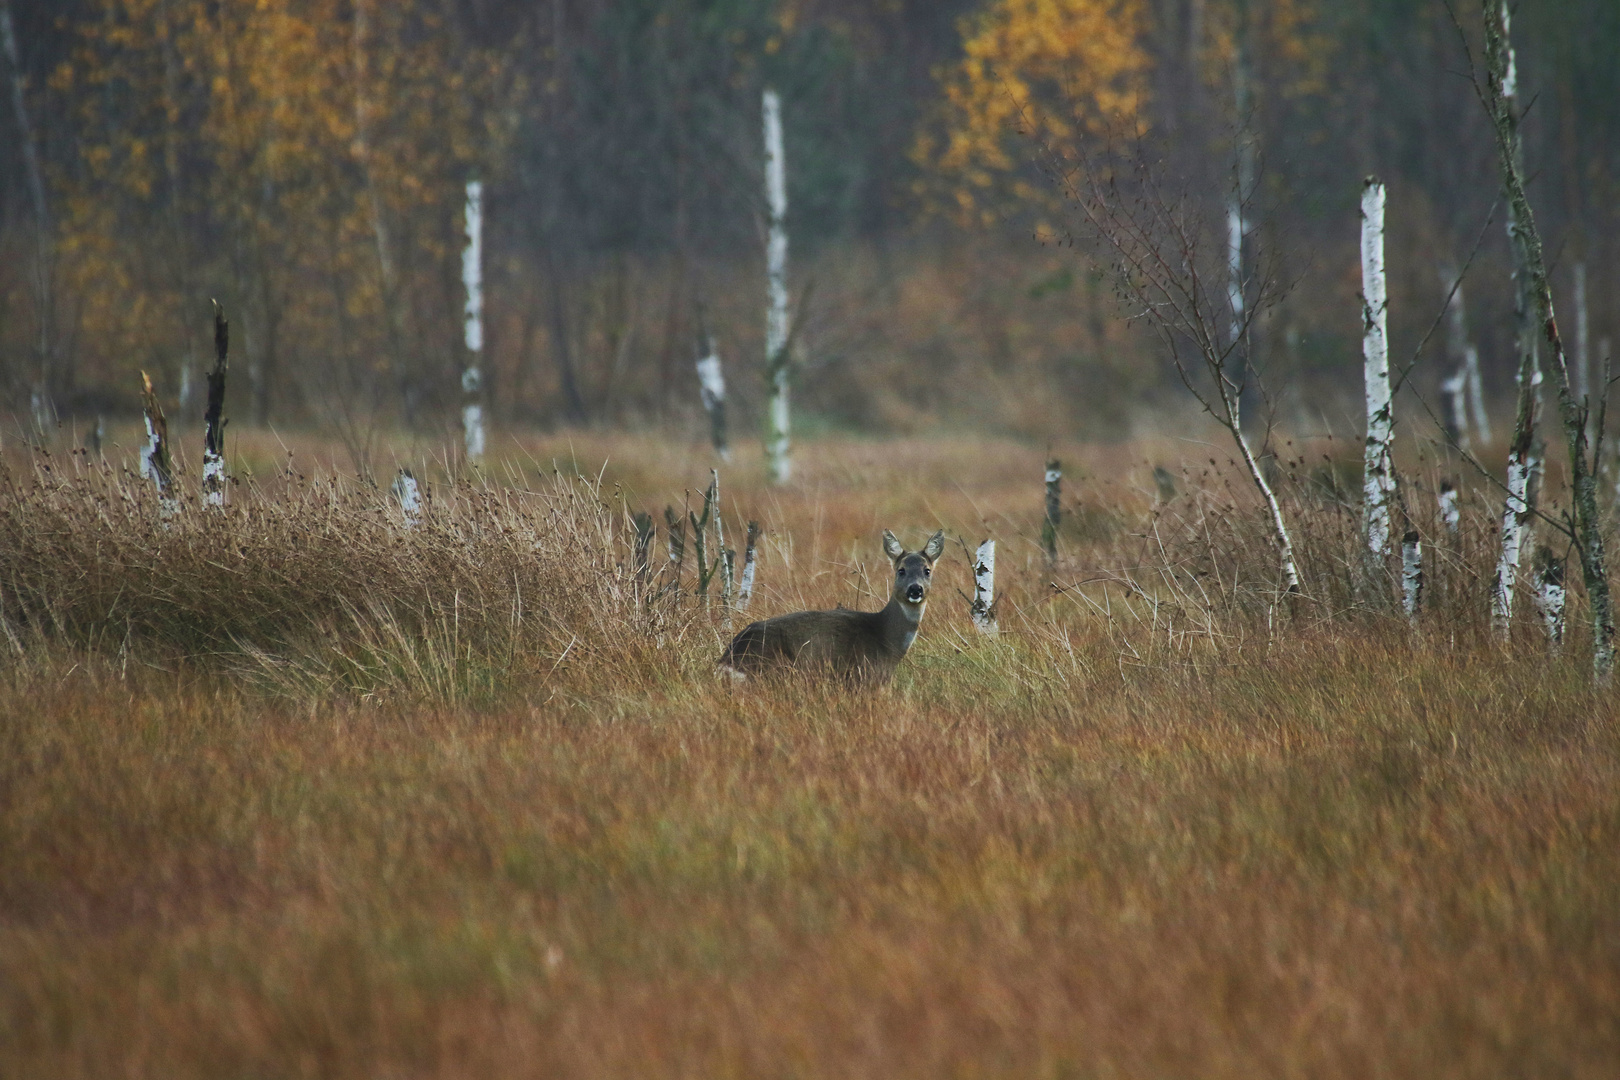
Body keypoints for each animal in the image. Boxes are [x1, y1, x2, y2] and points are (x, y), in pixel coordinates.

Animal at [716, 531, 946, 683]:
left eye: (927, 570)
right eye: (901, 570)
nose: (915, 589)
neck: (885, 640)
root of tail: (727, 660)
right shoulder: (861, 677)